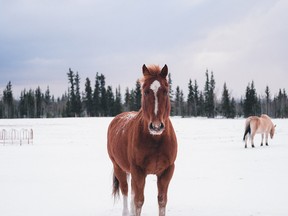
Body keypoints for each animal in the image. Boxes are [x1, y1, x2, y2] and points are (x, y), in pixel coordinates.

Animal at [107, 64, 177, 216]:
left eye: (166, 91)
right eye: (145, 92)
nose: (156, 126)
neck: (156, 140)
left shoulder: (167, 171)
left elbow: (162, 201)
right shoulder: (138, 171)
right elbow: (139, 201)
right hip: (119, 167)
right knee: (126, 191)